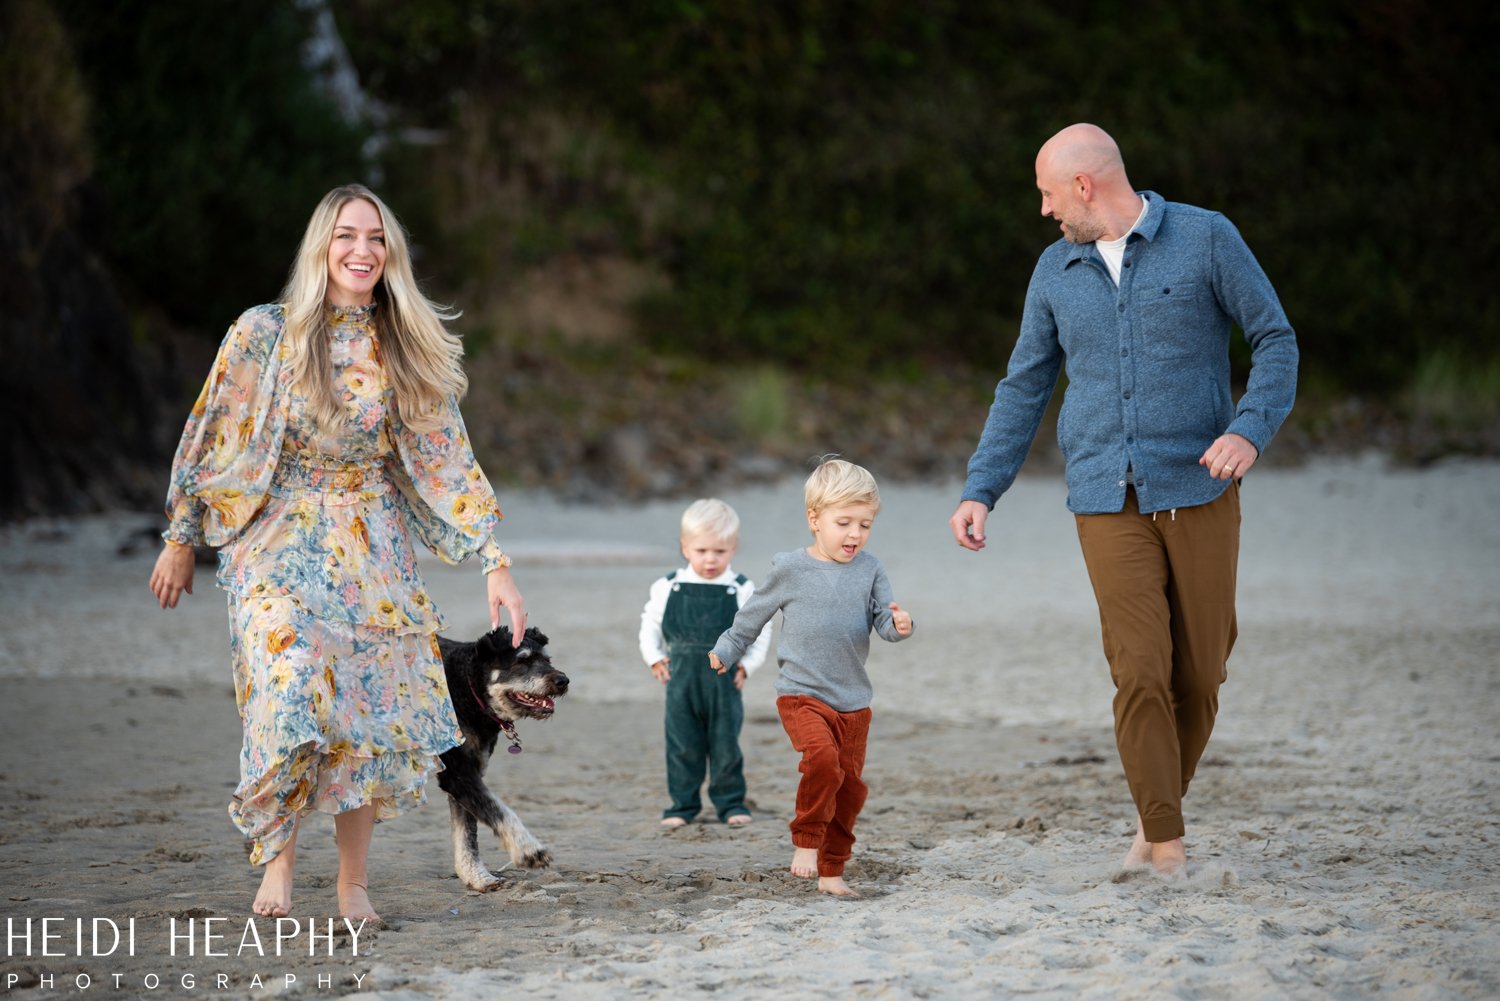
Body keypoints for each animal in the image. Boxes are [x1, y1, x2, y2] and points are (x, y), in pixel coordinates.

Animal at [441, 627, 570, 894]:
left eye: (547, 660)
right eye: (522, 660)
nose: (563, 681)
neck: (467, 687)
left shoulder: (469, 770)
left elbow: (467, 831)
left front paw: (478, 877)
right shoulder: (457, 771)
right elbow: (497, 809)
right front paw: (529, 850)